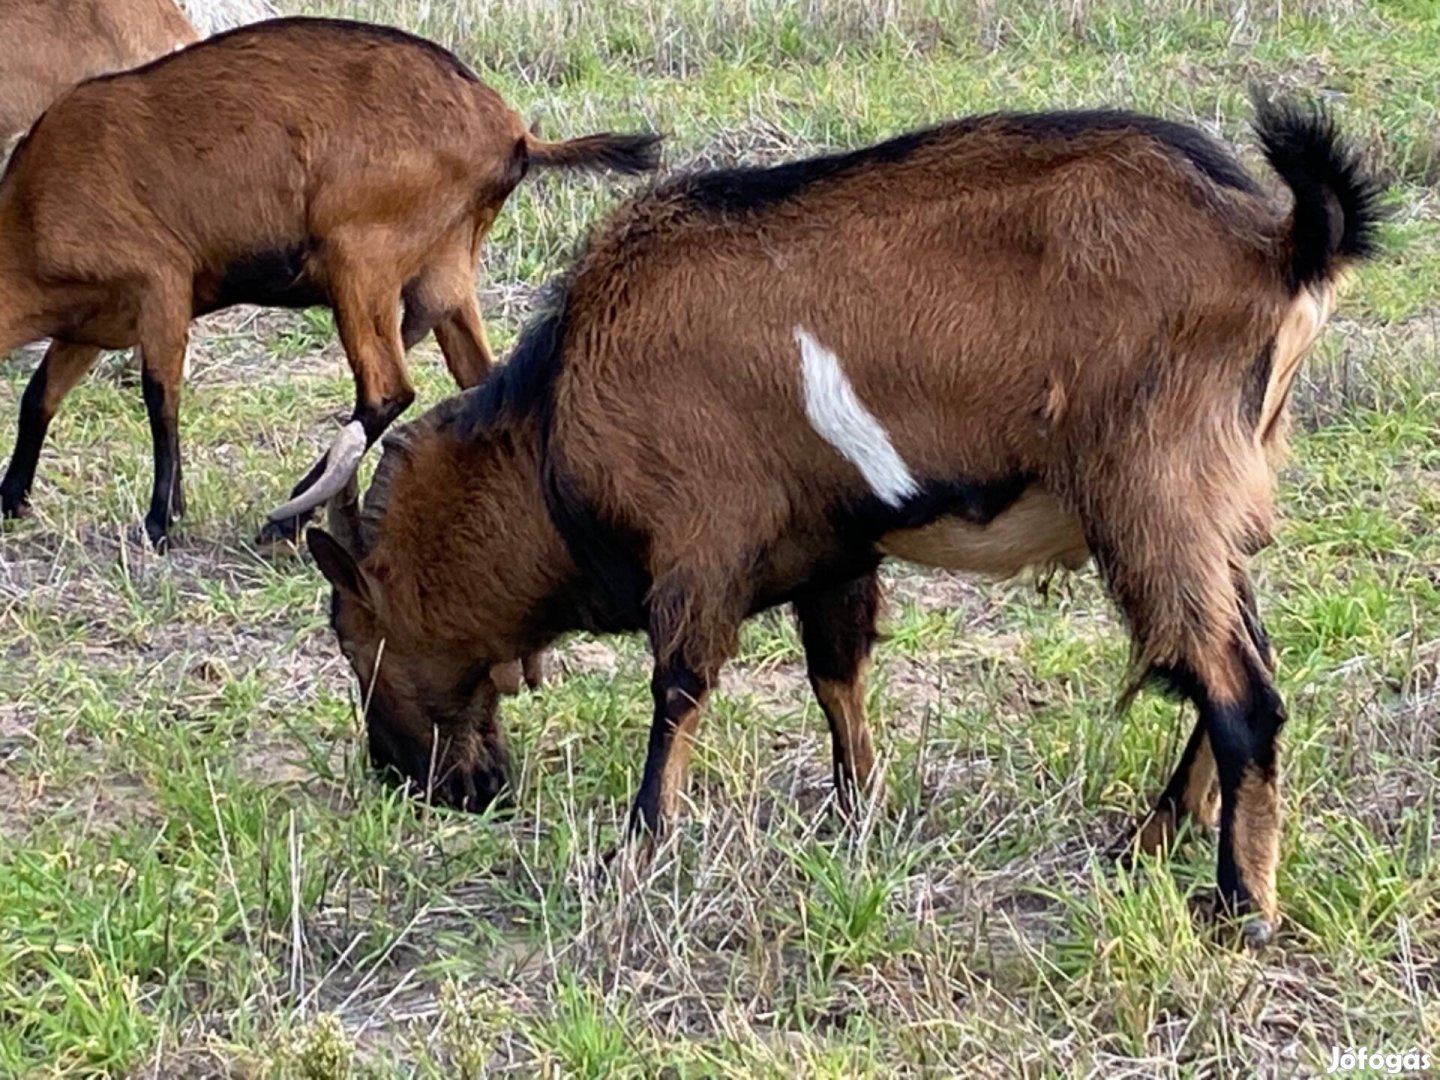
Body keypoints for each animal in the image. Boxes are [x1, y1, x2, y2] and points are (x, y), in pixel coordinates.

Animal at [0, 19, 659, 550]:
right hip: (445, 275)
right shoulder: (89, 327)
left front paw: (161, 522)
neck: (31, 209)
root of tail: (513, 135)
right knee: (480, 383)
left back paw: (289, 517)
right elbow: (40, 397)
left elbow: (161, 399)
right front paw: (11, 498)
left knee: (388, 389)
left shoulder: (162, 284)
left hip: (359, 261)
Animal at [306, 97, 1382, 950]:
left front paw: (638, 847)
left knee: (1242, 694)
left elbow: (677, 690)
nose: (414, 781)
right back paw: (1146, 841)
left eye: (356, 637)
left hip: (1154, 495)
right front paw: (860, 810)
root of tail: (1278, 238)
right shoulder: (831, 553)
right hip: (1213, 505)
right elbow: (838, 678)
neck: (557, 427)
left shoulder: (700, 548)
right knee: (1230, 664)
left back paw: (1241, 908)